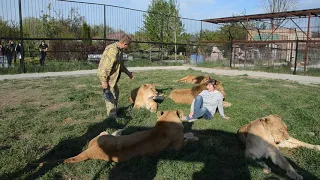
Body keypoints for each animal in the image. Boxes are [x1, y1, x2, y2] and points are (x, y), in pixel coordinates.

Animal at [37, 109, 198, 165]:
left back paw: (119, 131)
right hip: (103, 138)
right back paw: (119, 129)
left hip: (97, 142)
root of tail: (89, 151)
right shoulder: (177, 147)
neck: (165, 122)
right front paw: (193, 136)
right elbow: (187, 140)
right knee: (104, 132)